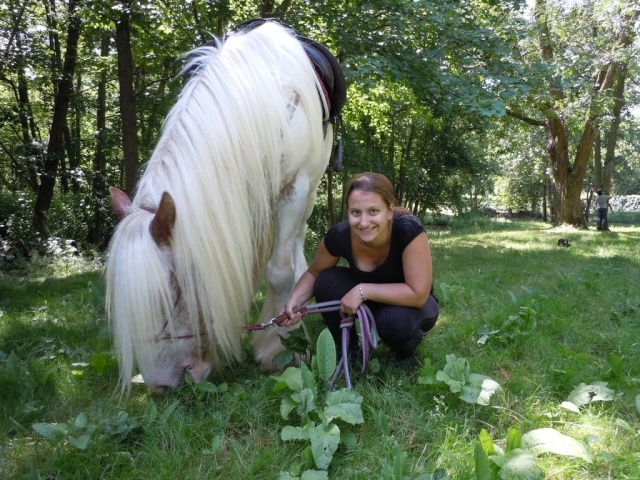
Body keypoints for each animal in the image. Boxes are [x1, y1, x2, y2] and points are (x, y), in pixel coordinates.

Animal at [105, 19, 336, 394]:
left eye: (172, 296)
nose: (161, 386)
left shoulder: (294, 189)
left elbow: (279, 272)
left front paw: (277, 348)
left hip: (312, 188)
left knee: (297, 244)